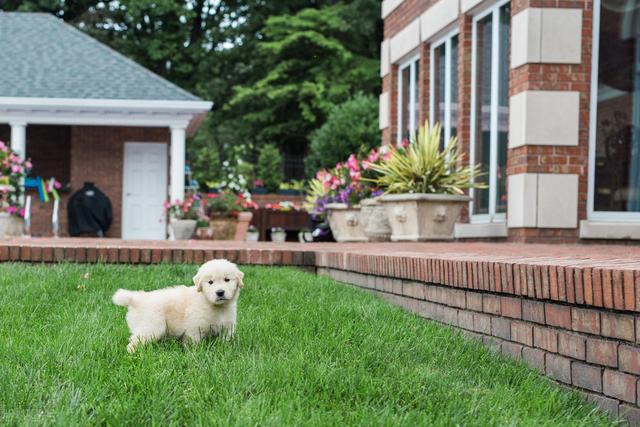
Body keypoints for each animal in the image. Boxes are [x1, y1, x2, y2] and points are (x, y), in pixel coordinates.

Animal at [111, 260, 244, 352]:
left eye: (227, 279)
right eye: (210, 282)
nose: (220, 292)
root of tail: (136, 299)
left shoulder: (227, 327)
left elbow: (226, 339)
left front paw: (225, 349)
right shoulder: (195, 327)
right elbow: (194, 342)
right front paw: (195, 353)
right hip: (152, 327)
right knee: (134, 342)